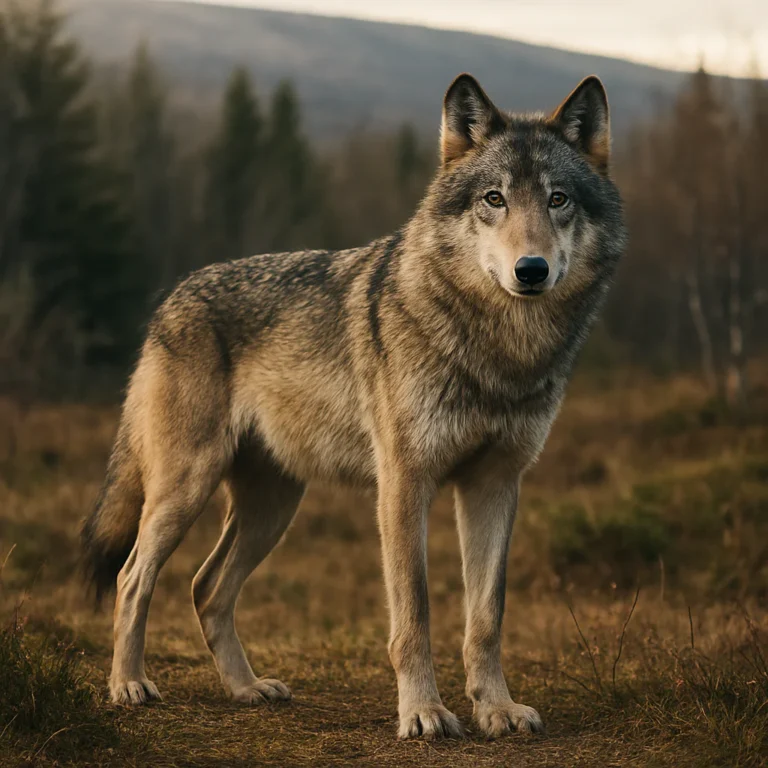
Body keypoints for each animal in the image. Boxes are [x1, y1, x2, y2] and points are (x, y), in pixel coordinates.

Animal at [82, 72, 625, 740]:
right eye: (494, 199)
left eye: (557, 199)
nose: (531, 269)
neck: (499, 350)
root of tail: (170, 298)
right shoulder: (404, 483)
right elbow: (414, 613)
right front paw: (423, 713)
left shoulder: (495, 485)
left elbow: (487, 617)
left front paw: (496, 709)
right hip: (185, 490)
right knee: (133, 577)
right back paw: (128, 684)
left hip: (273, 508)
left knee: (207, 588)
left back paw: (246, 689)